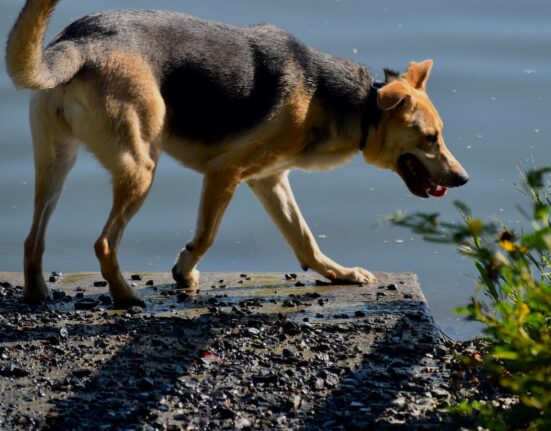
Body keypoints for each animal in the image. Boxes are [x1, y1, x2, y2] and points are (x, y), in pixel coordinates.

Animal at [5, 0, 470, 308]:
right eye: (431, 138)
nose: (464, 179)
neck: (353, 105)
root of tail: (79, 42)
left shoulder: (270, 180)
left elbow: (304, 240)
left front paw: (339, 274)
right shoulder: (224, 173)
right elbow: (207, 236)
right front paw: (184, 272)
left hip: (55, 163)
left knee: (32, 239)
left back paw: (37, 293)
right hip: (140, 169)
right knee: (104, 243)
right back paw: (127, 296)